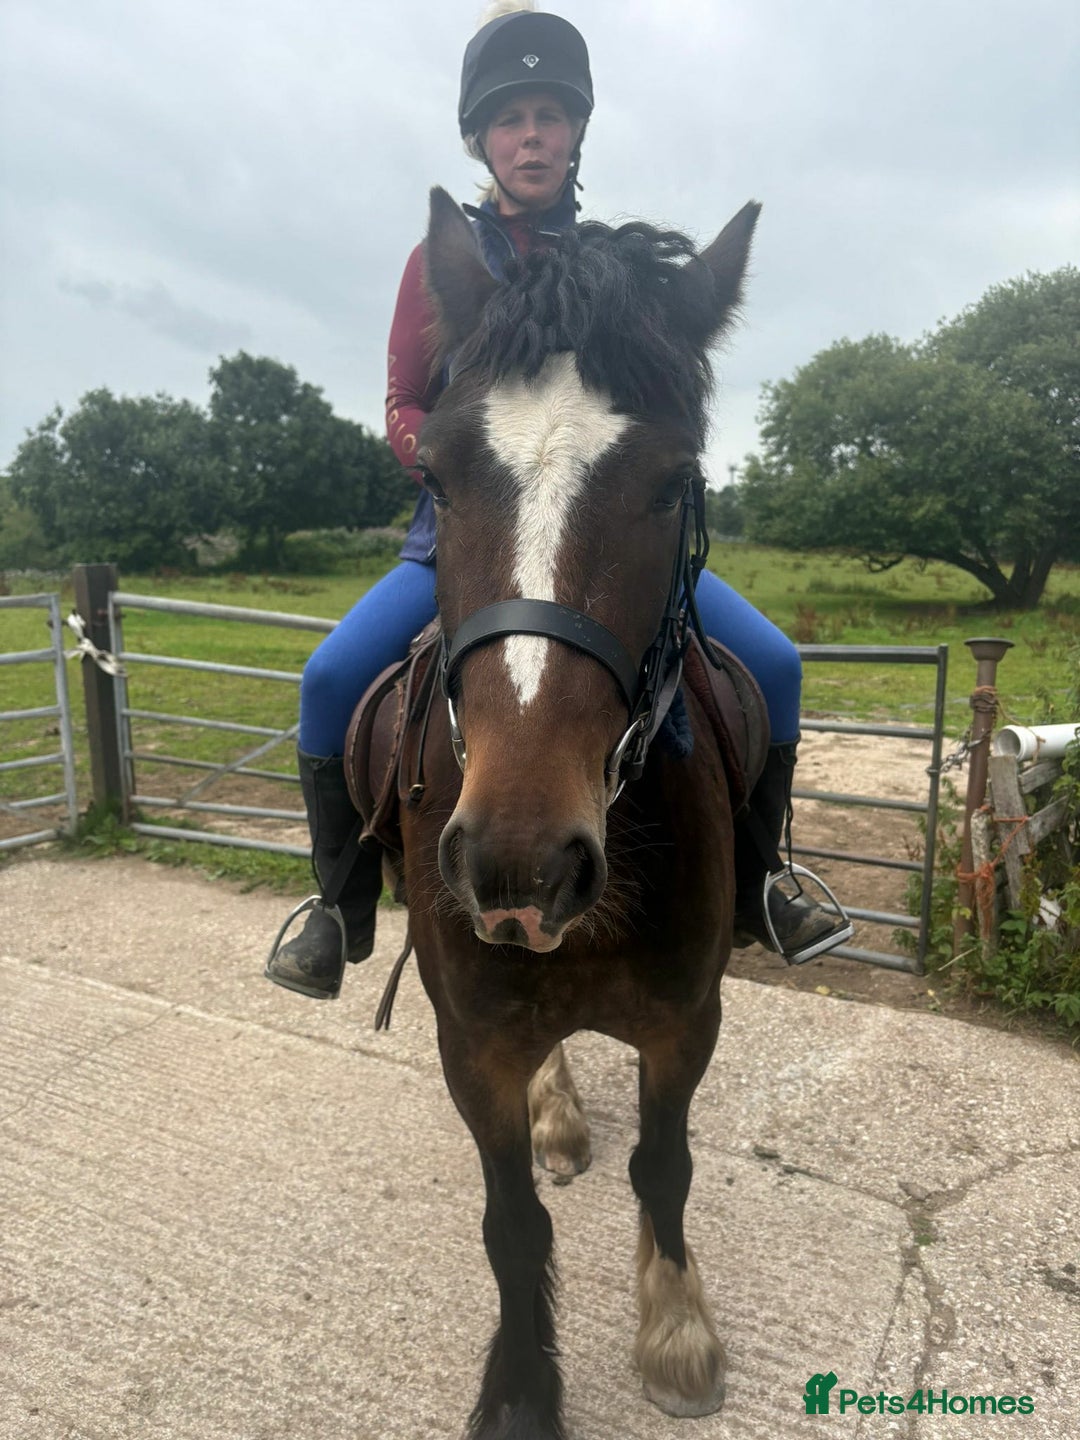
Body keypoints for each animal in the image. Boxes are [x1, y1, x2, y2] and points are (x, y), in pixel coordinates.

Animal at [386, 188, 760, 1440]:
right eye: (439, 477)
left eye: (672, 482)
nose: (521, 861)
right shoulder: (472, 1044)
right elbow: (511, 1227)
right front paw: (518, 1390)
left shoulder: (688, 1022)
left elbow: (666, 1169)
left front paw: (678, 1333)